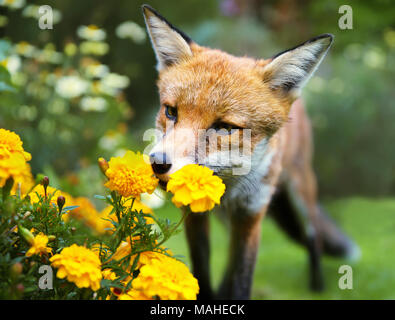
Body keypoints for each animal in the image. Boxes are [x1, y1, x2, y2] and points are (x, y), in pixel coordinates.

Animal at [143, 5, 362, 300]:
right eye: (171, 112)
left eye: (225, 127)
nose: (158, 163)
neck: (229, 189)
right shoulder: (197, 216)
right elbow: (202, 272)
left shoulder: (251, 213)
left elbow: (242, 279)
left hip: (301, 190)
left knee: (313, 234)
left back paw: (317, 285)